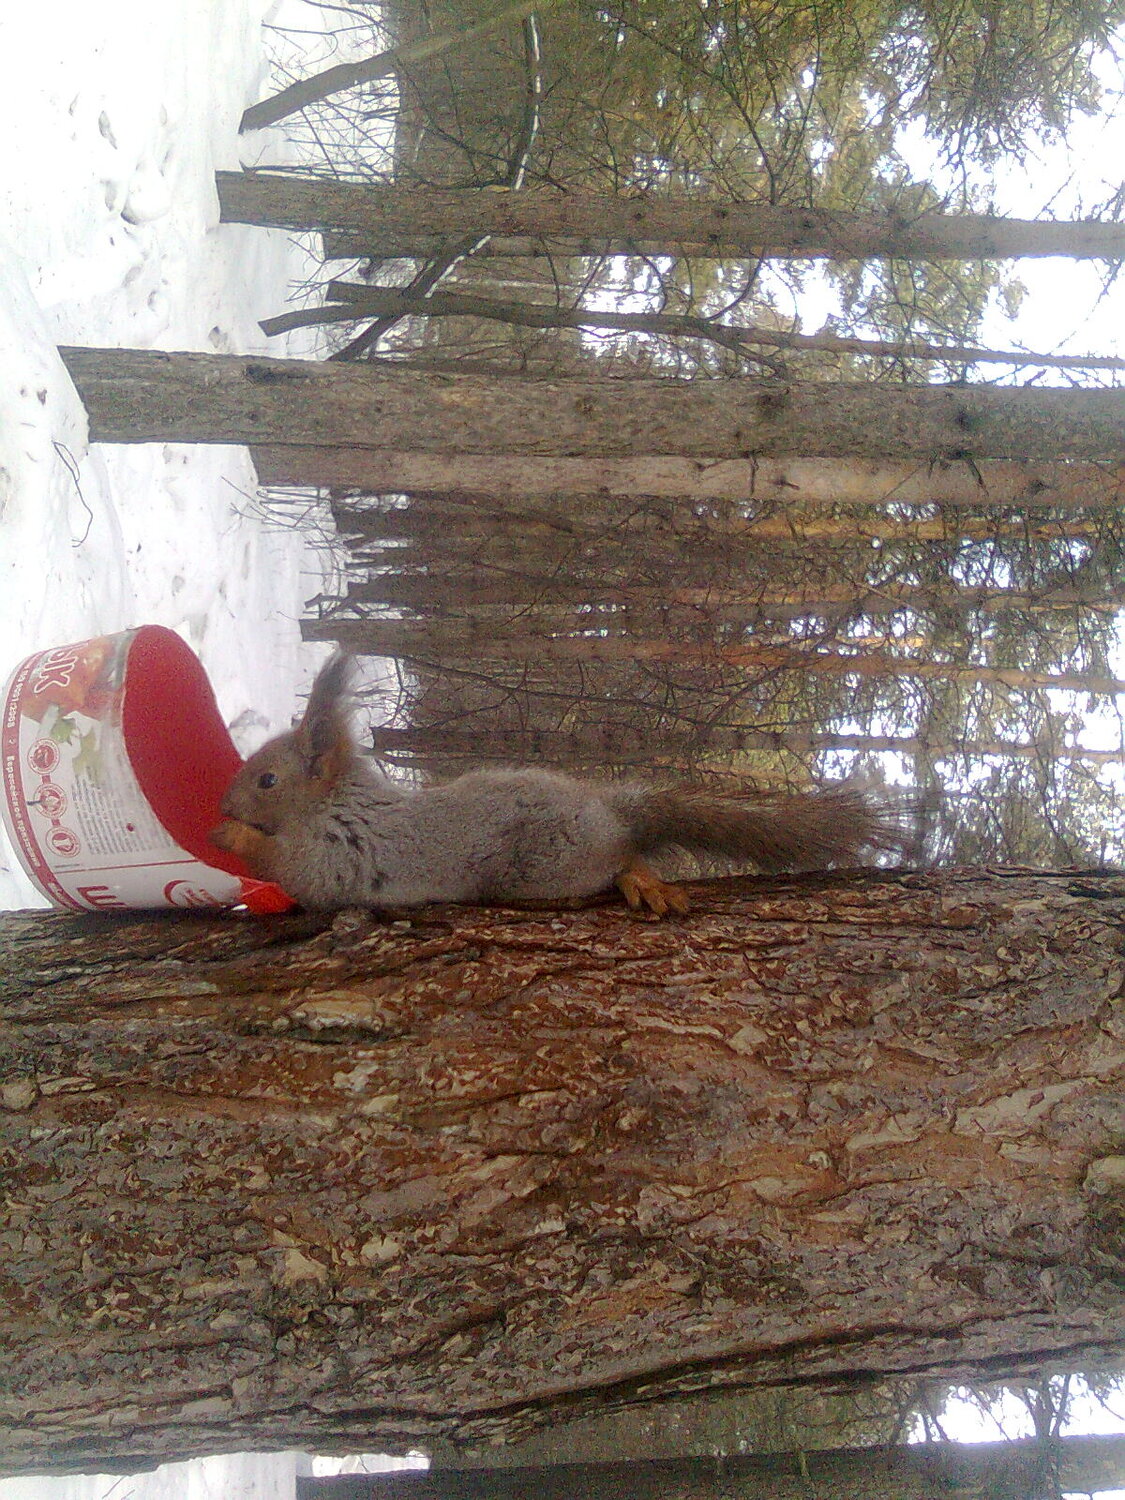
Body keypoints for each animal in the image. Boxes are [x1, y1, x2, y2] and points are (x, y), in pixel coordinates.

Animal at [210, 655, 900, 916]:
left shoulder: (340, 848)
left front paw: (230, 835)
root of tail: (608, 809)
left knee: (620, 858)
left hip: (547, 868)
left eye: (267, 779)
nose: (224, 800)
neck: (335, 801)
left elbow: (297, 872)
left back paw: (640, 880)